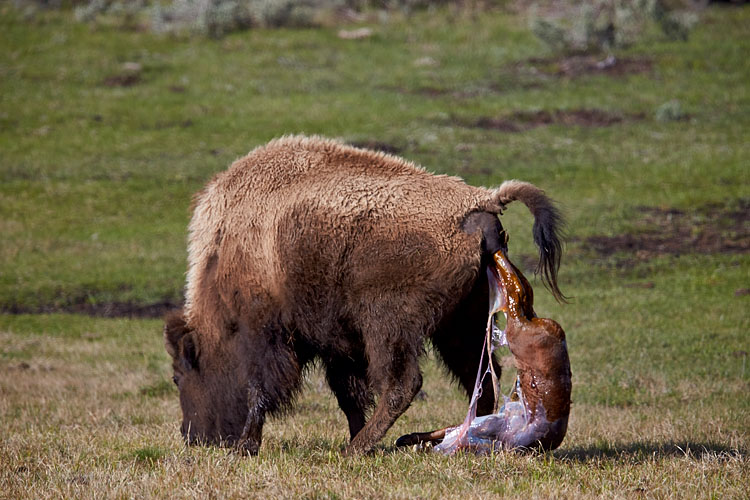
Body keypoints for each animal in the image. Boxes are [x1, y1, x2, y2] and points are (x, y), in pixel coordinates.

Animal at [164, 135, 564, 456]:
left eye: (179, 376)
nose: (193, 437)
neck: (225, 254)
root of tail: (480, 202)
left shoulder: (268, 334)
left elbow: (261, 389)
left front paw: (247, 446)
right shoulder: (339, 345)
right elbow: (349, 395)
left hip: (388, 323)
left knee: (404, 383)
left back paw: (357, 448)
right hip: (461, 322)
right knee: (478, 379)